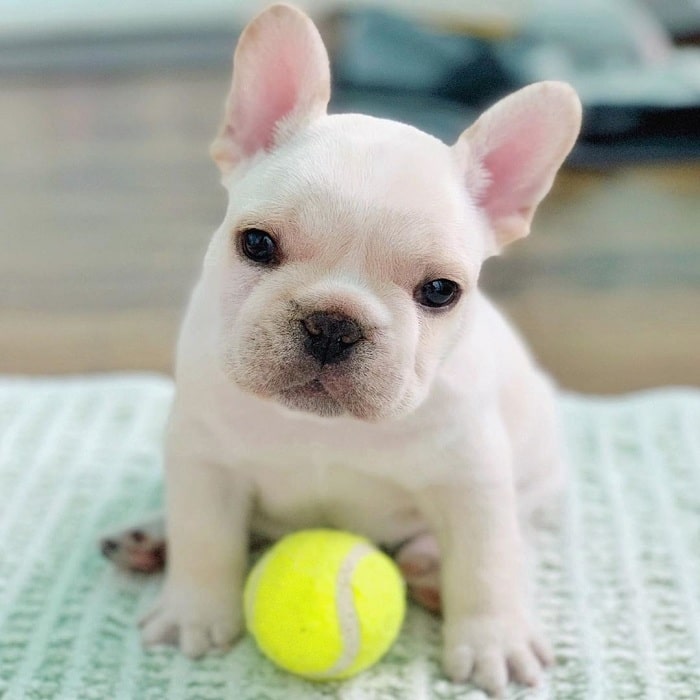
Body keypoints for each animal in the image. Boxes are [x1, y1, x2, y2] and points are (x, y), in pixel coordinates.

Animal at [104, 5, 584, 696]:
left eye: (440, 291)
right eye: (256, 243)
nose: (334, 322)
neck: (323, 427)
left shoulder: (472, 480)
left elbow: (487, 563)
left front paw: (494, 641)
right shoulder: (203, 460)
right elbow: (205, 540)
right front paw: (193, 611)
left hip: (537, 478)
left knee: (517, 534)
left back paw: (430, 568)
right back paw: (149, 536)